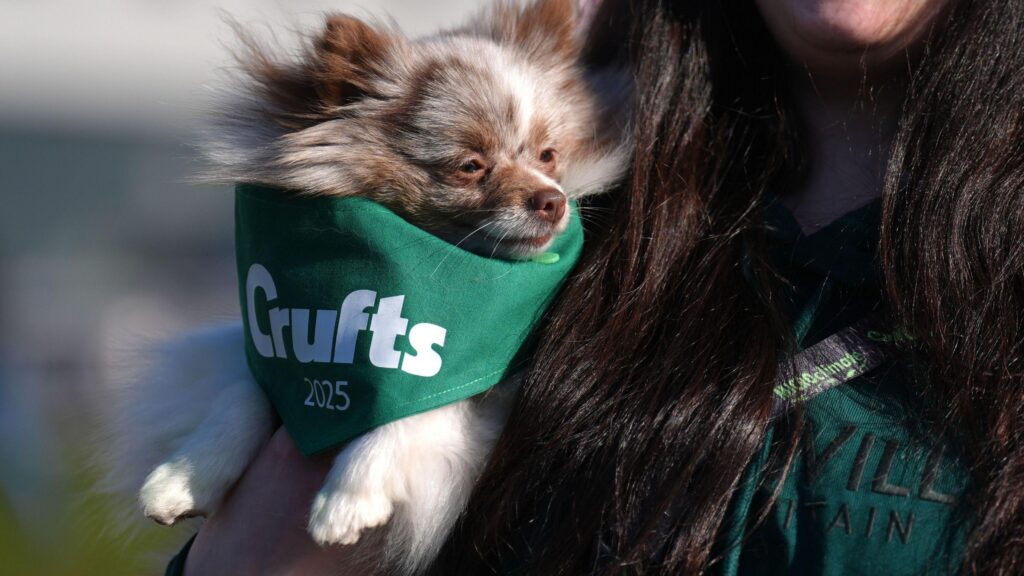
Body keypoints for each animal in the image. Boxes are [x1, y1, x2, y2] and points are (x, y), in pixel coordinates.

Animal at [108, 0, 626, 569]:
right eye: (470, 165)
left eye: (549, 155)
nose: (551, 199)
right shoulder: (255, 345)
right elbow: (245, 390)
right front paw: (184, 476)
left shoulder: (485, 382)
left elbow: (424, 399)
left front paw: (347, 496)